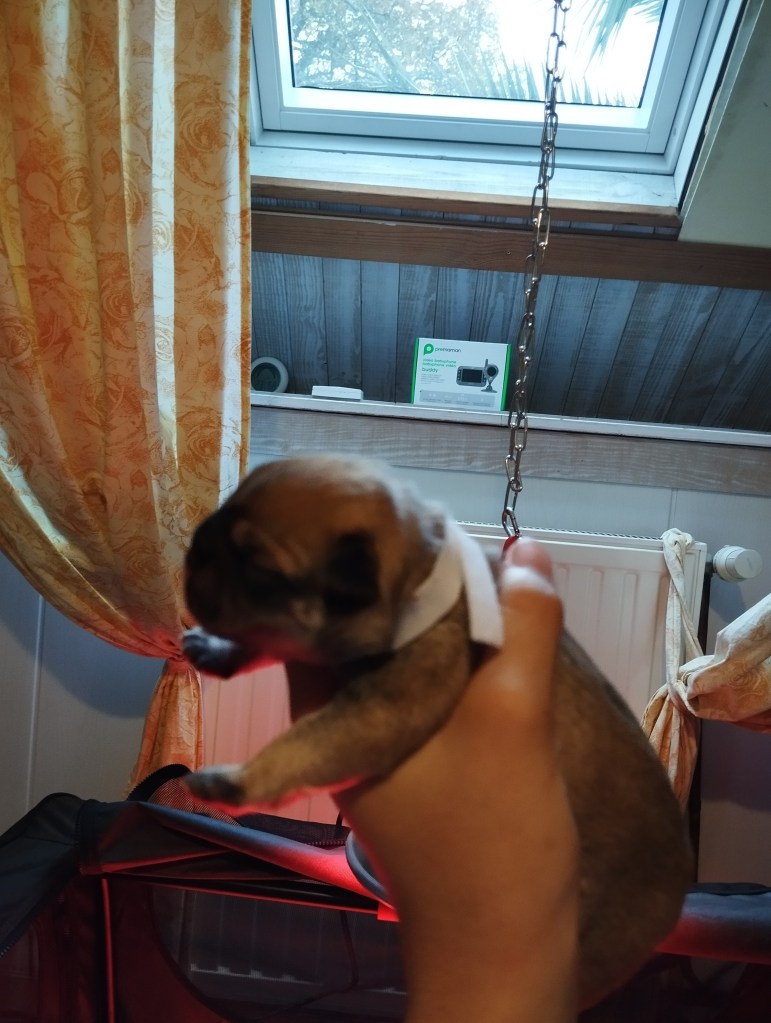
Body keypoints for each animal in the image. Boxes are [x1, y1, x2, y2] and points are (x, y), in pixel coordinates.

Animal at [182, 454, 692, 1007]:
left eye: (258, 568)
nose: (193, 549)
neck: (419, 583)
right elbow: (265, 640)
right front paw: (216, 649)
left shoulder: (383, 709)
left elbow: (304, 742)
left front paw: (234, 780)